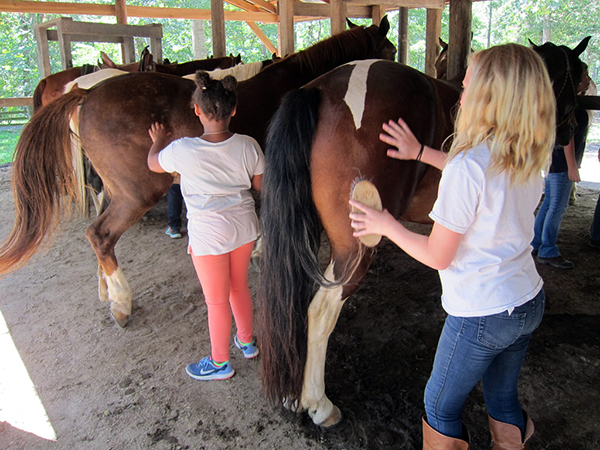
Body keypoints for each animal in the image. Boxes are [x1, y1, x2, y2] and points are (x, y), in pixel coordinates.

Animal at [1, 17, 398, 326]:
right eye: (392, 51)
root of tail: (86, 94)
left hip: (113, 189)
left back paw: (105, 290)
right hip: (135, 193)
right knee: (100, 234)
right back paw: (121, 303)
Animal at [258, 37, 592, 426]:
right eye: (577, 75)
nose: (569, 130)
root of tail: (321, 91)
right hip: (352, 252)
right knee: (320, 312)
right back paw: (318, 403)